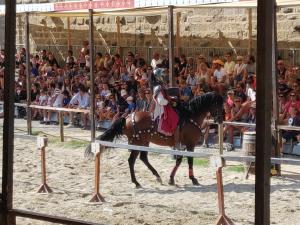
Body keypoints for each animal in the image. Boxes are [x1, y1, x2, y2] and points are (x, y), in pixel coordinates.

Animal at [85, 91, 224, 188]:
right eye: (218, 104)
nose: (221, 119)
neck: (190, 116)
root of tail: (127, 117)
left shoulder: (182, 145)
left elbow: (179, 160)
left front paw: (172, 179)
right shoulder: (190, 144)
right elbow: (189, 161)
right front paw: (192, 179)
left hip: (144, 142)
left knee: (143, 158)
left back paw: (157, 176)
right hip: (138, 142)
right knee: (132, 160)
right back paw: (136, 182)